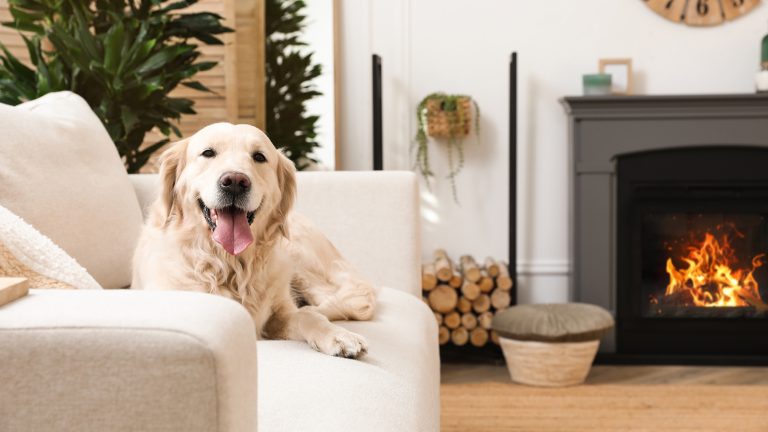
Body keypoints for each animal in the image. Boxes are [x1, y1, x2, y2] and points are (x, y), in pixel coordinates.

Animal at [133, 122, 378, 358]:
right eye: (208, 153)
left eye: (259, 156)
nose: (234, 181)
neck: (230, 265)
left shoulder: (279, 315)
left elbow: (307, 317)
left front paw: (339, 336)